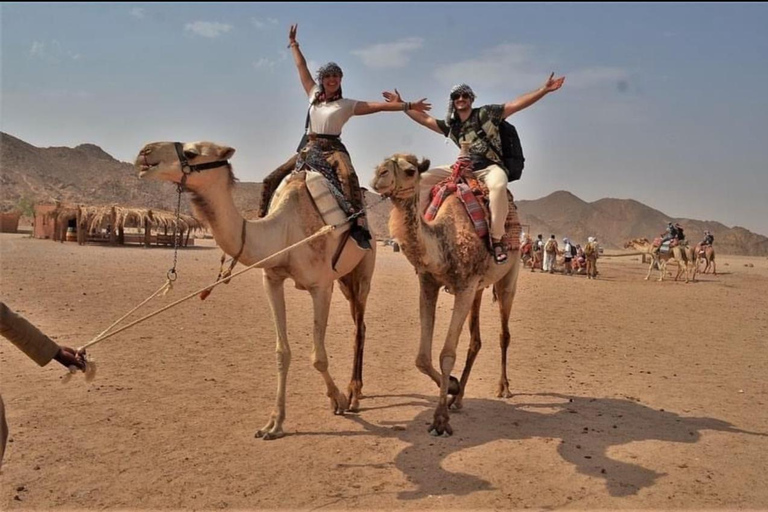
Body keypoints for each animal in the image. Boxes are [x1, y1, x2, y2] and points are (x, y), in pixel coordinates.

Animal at [138, 141, 378, 440]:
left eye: (192, 152)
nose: (145, 152)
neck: (285, 231)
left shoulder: (321, 286)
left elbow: (318, 357)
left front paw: (339, 400)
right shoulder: (272, 280)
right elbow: (282, 352)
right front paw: (274, 424)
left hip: (363, 271)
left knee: (360, 326)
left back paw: (354, 394)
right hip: (343, 278)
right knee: (360, 324)